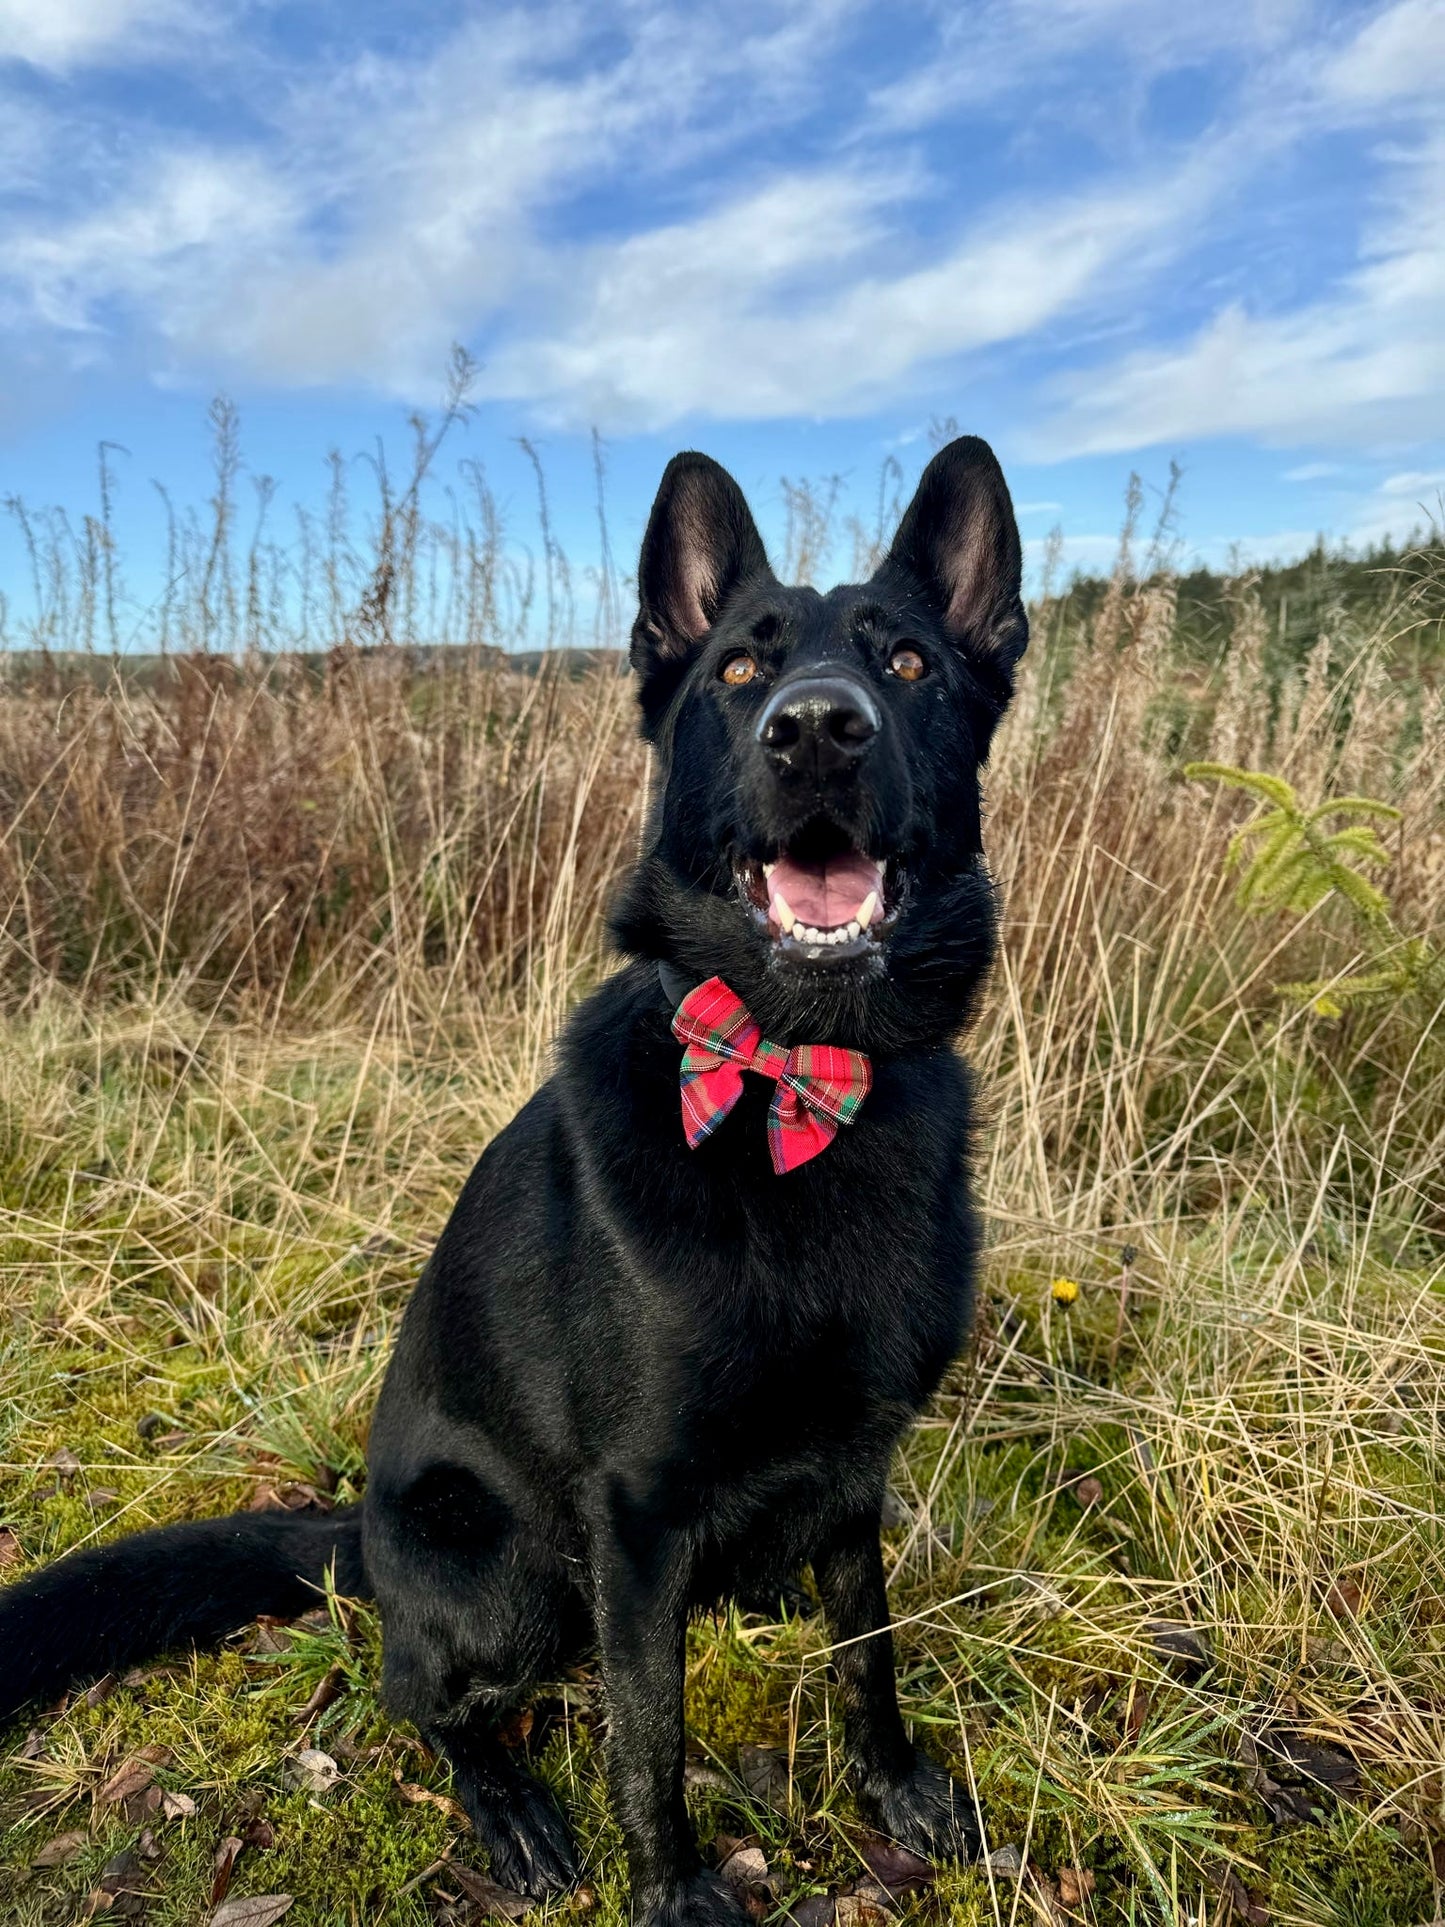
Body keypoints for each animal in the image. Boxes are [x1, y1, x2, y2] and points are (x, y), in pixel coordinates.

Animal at [0, 437, 1032, 1927]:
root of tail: (361, 1534)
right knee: (420, 1694)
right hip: (505, 1572)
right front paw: (672, 1889)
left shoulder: (855, 1466)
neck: (795, 1076)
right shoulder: (637, 1515)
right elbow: (647, 1728)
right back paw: (512, 1807)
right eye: (739, 668)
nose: (815, 730)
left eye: (904, 663)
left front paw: (892, 1785)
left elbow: (870, 1645)